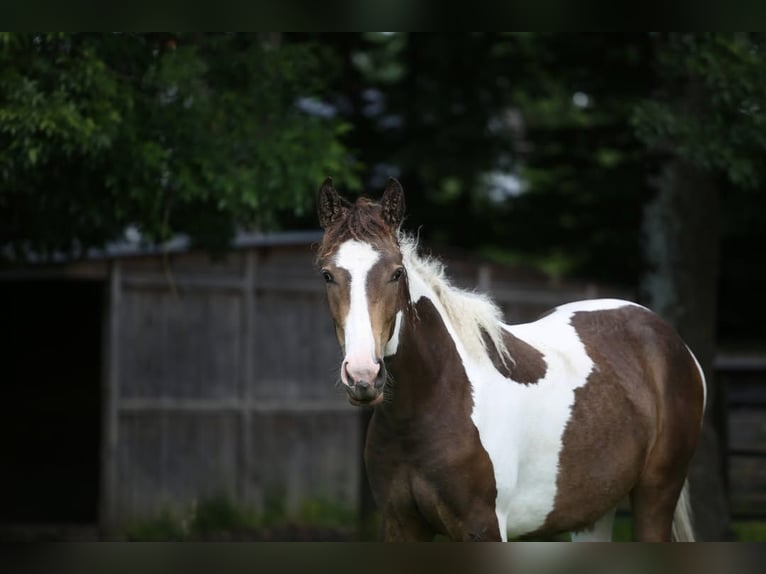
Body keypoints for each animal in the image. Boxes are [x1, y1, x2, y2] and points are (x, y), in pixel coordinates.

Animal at [315, 177, 705, 542]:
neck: (431, 401)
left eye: (396, 273)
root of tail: (670, 340)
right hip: (595, 510)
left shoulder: (483, 526)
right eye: (327, 274)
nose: (364, 376)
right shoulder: (400, 525)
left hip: (656, 495)